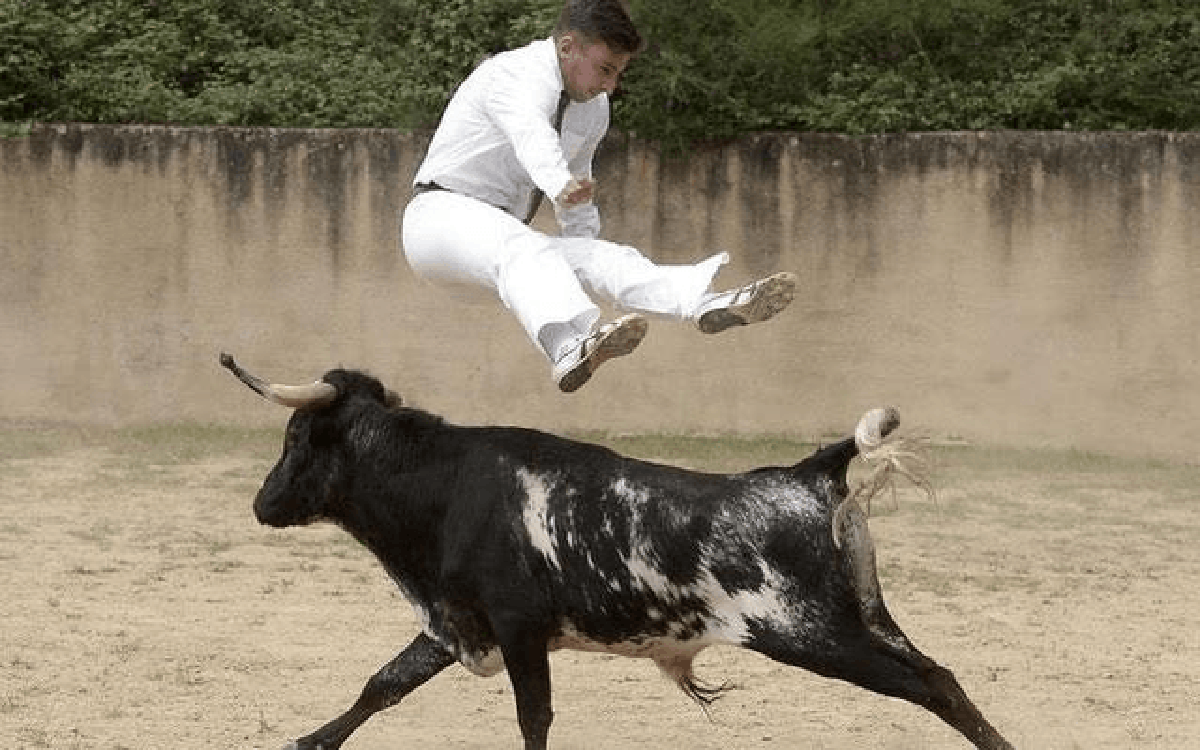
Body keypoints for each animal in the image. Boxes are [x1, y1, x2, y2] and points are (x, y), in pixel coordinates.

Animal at [219, 353, 1013, 750]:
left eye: (296, 438)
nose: (262, 503)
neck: (447, 485)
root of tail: (807, 470)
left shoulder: (517, 629)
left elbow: (533, 718)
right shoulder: (456, 622)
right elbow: (381, 686)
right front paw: (304, 742)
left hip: (817, 636)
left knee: (930, 689)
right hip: (869, 623)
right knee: (941, 676)